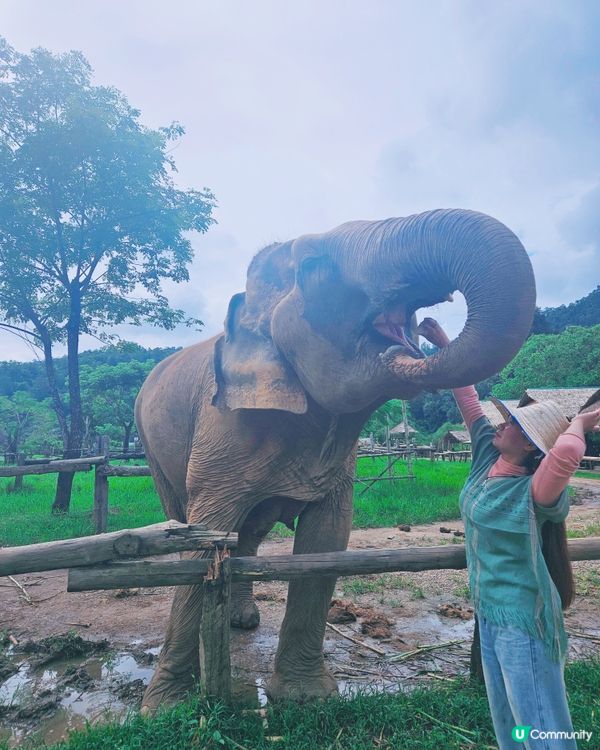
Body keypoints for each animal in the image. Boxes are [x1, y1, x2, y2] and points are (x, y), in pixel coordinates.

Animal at [135, 208, 535, 711]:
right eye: (314, 266)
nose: (426, 330)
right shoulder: (220, 428)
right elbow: (202, 535)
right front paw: (165, 708)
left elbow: (326, 537)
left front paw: (306, 699)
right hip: (151, 445)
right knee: (184, 515)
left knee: (249, 531)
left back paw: (241, 620)